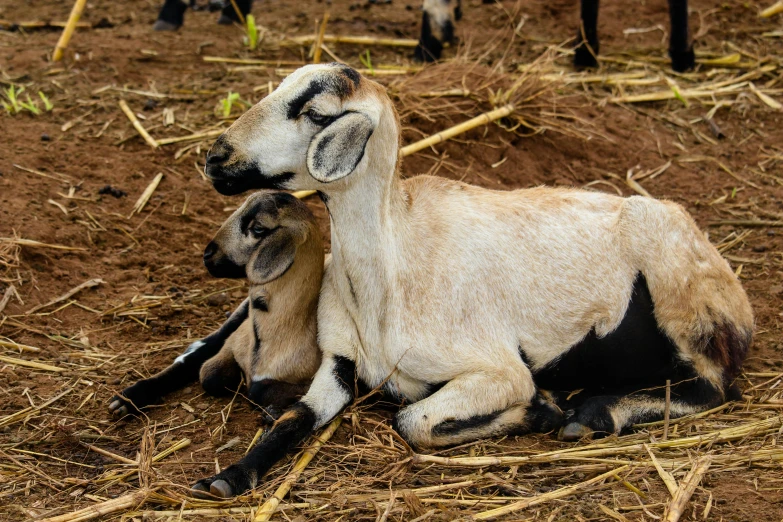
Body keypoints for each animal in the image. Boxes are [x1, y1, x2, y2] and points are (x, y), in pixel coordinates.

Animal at [190, 64, 752, 496]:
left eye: (313, 113)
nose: (215, 158)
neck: (389, 271)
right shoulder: (337, 364)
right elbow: (293, 417)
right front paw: (229, 477)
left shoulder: (498, 370)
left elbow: (412, 421)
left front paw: (540, 412)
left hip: (685, 299)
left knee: (714, 387)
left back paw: (593, 413)